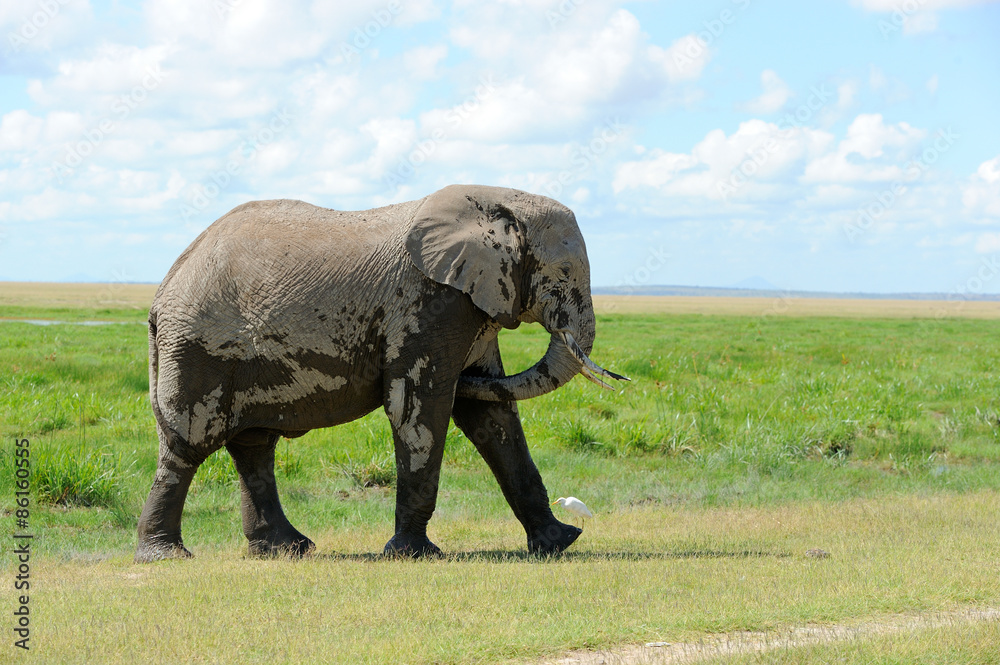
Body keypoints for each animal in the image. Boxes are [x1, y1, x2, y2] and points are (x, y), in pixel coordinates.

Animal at [135, 184, 628, 563]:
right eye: (563, 273)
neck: (497, 202)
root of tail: (160, 297)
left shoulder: (473, 302)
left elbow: (490, 417)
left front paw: (560, 543)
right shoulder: (428, 305)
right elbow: (419, 406)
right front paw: (414, 555)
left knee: (252, 447)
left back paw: (288, 550)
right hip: (198, 346)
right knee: (189, 443)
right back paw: (166, 556)